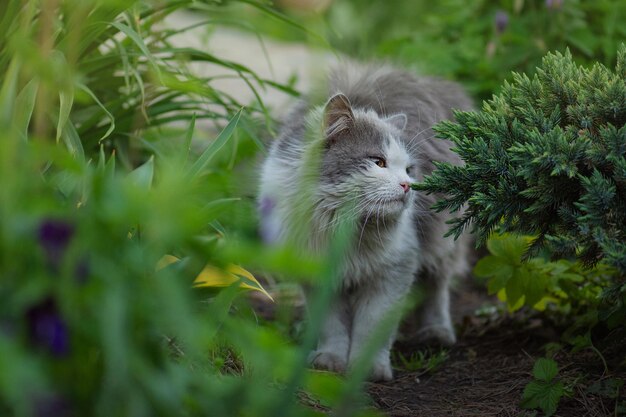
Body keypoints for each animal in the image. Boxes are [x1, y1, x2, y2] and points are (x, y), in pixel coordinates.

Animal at [258, 62, 472, 380]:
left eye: (409, 170)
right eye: (378, 162)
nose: (408, 186)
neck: (346, 228)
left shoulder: (393, 271)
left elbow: (372, 328)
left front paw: (368, 369)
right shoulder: (318, 276)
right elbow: (332, 327)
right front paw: (330, 361)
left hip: (442, 243)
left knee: (437, 287)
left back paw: (436, 332)